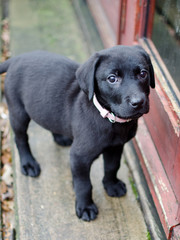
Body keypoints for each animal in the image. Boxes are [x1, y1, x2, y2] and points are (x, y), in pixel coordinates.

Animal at [0, 45, 155, 221]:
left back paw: (60, 137)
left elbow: (112, 167)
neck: (109, 119)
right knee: (21, 139)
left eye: (143, 73)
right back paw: (28, 163)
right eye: (112, 78)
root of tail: (16, 59)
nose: (138, 102)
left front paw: (111, 185)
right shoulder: (79, 157)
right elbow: (84, 185)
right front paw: (85, 207)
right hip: (18, 112)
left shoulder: (116, 147)